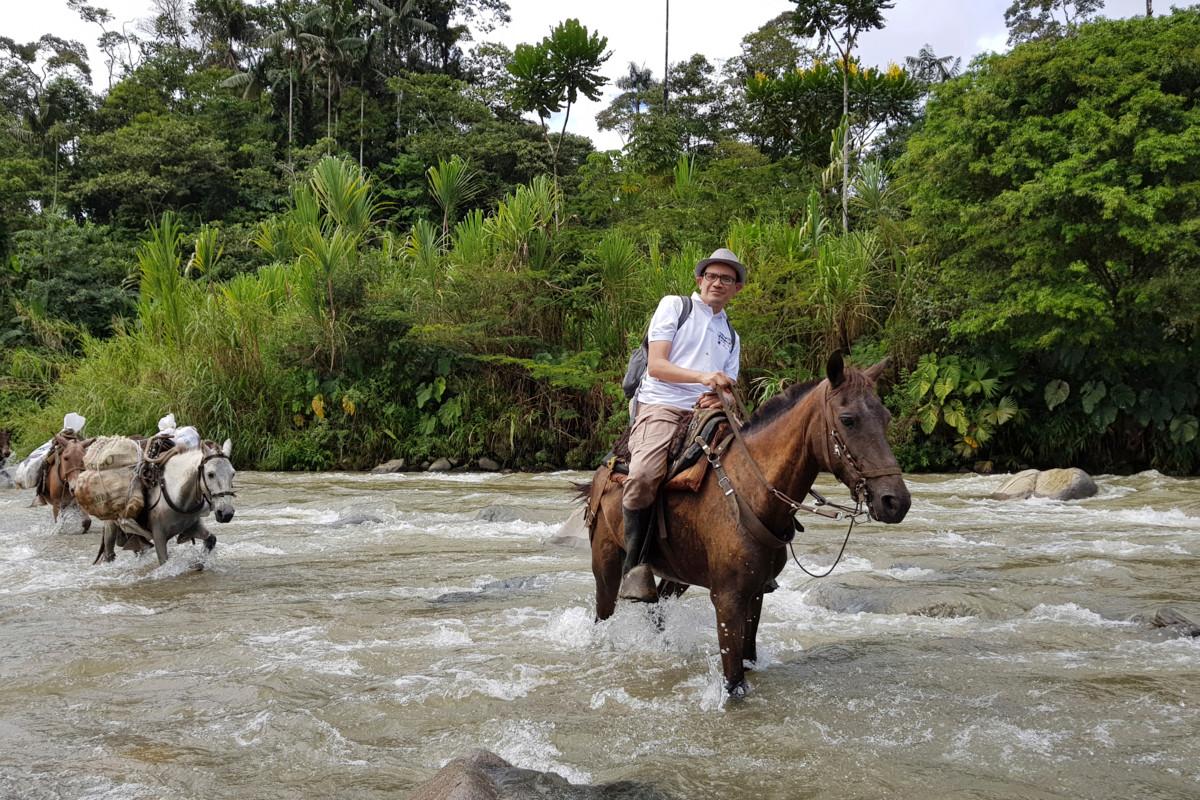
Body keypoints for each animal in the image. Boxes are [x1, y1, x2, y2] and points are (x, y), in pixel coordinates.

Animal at [94, 441, 237, 566]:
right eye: (210, 474)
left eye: (233, 473)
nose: (226, 513)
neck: (178, 495)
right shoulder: (159, 536)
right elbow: (164, 561)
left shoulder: (192, 525)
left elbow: (211, 539)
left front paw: (198, 563)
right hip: (111, 525)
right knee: (109, 553)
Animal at [583, 352, 907, 695]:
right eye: (848, 419)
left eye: (886, 417)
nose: (896, 501)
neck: (749, 492)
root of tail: (605, 467)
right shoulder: (728, 600)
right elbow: (734, 679)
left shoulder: (756, 594)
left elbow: (747, 658)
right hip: (606, 566)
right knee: (604, 614)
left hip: (678, 575)